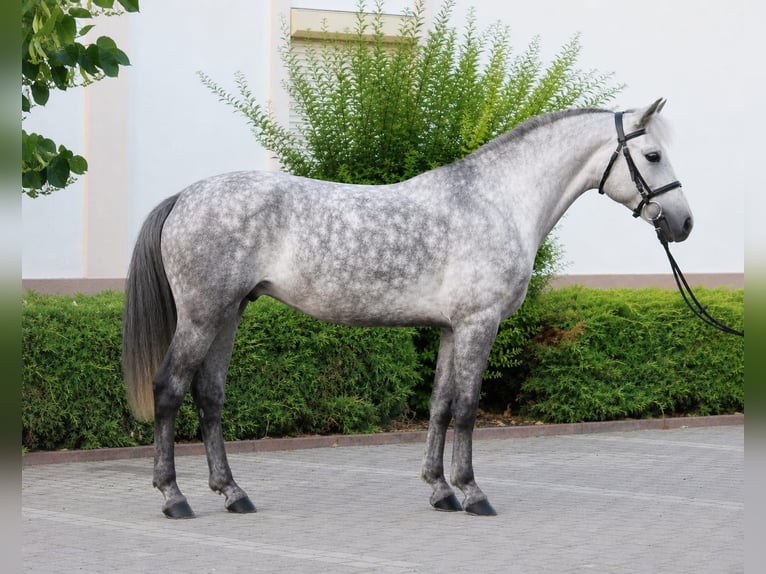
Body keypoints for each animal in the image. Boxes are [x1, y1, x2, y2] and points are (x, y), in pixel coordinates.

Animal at [123, 99, 693, 518]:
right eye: (653, 156)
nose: (683, 224)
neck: (498, 202)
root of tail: (185, 196)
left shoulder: (449, 328)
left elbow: (440, 404)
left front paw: (440, 491)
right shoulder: (478, 324)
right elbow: (467, 408)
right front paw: (473, 493)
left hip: (228, 313)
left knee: (210, 396)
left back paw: (233, 493)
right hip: (203, 316)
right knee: (169, 389)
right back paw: (174, 498)